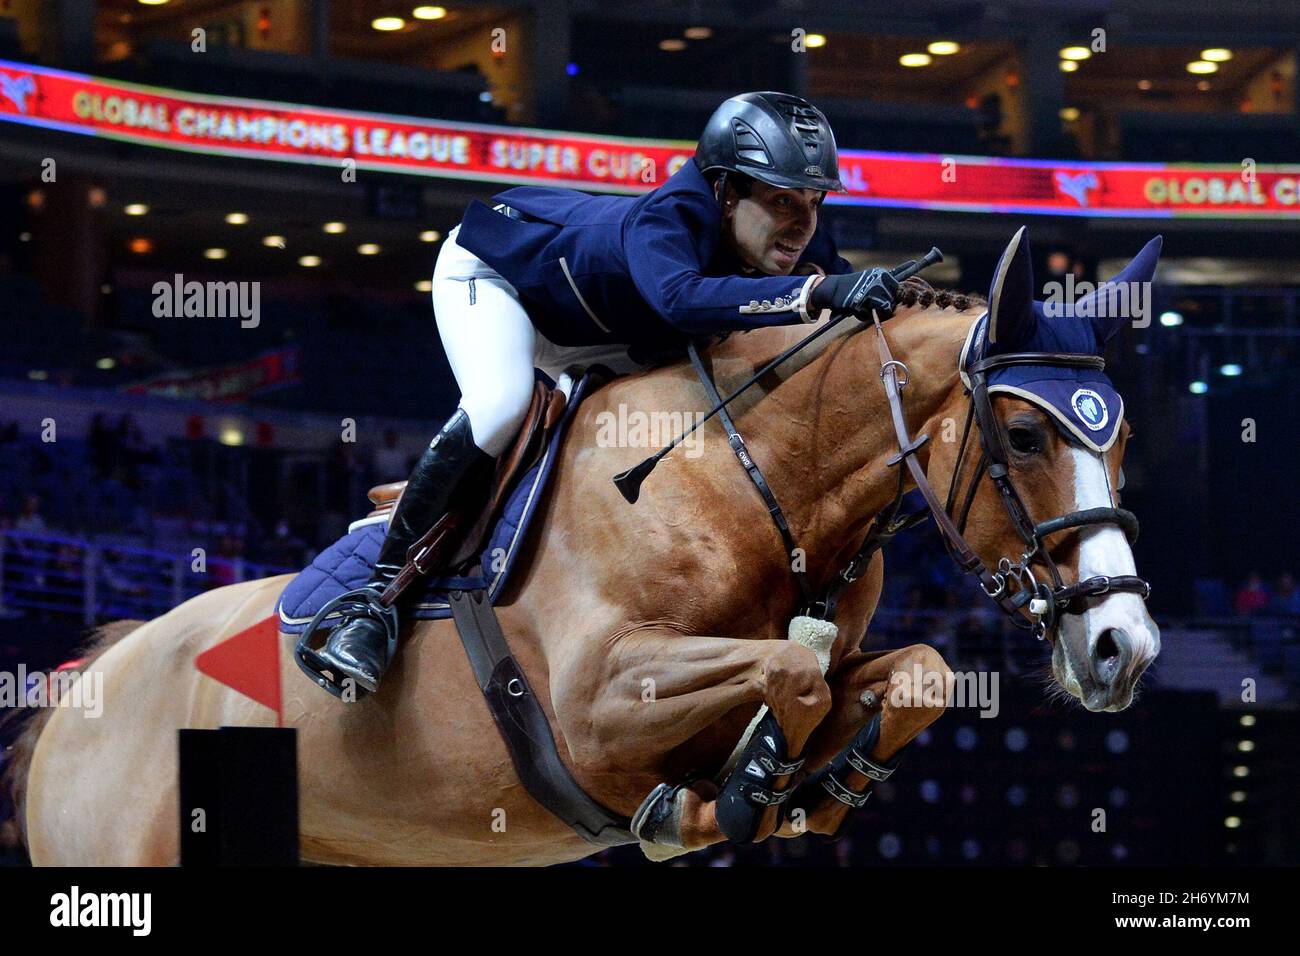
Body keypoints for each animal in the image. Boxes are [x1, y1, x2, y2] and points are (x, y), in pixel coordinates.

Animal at [12, 234, 1159, 868]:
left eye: (1123, 441)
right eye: (1025, 437)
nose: (1125, 645)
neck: (756, 480)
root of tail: (78, 683)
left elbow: (913, 671)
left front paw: (818, 788)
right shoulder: (597, 698)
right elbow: (786, 673)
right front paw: (733, 792)